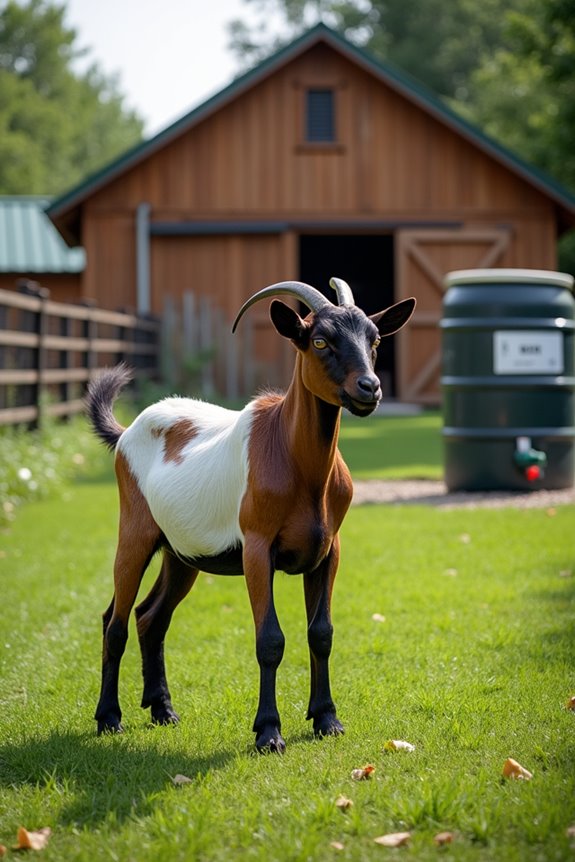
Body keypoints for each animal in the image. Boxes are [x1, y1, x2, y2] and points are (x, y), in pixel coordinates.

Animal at [86, 277, 415, 752]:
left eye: (374, 340)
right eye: (319, 340)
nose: (369, 387)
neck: (295, 461)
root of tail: (126, 432)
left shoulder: (328, 549)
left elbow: (321, 633)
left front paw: (326, 719)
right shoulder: (257, 548)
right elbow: (270, 639)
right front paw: (268, 732)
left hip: (181, 552)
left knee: (151, 616)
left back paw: (163, 710)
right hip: (135, 530)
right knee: (115, 620)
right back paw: (110, 718)